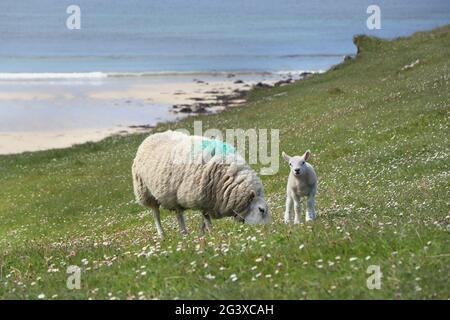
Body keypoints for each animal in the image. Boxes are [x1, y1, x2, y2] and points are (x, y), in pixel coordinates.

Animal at [131, 130, 270, 238]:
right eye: (261, 210)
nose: (268, 230)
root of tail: (150, 136)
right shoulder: (201, 196)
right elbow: (206, 217)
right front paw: (211, 232)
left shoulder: (208, 199)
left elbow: (204, 218)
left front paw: (202, 232)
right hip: (145, 192)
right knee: (156, 214)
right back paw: (162, 235)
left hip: (174, 194)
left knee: (178, 213)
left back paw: (184, 233)